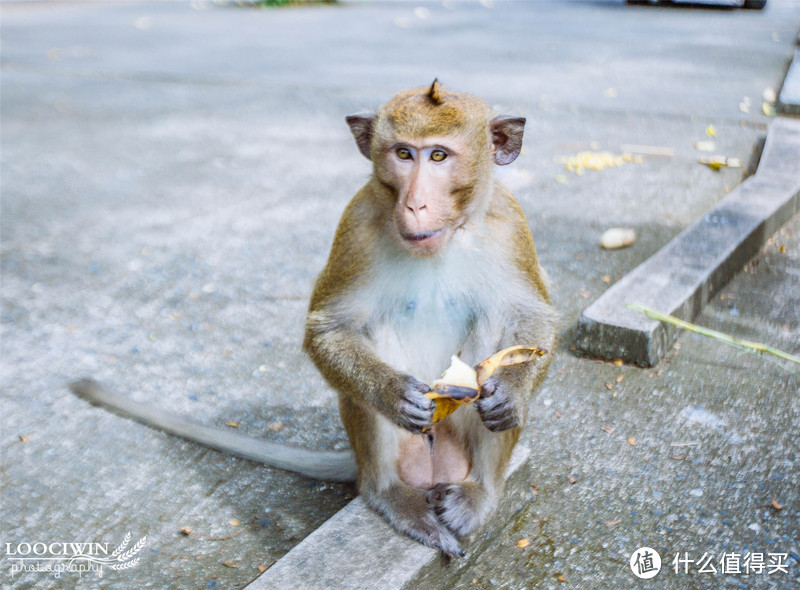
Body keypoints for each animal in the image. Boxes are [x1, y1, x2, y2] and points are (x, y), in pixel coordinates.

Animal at [69, 81, 552, 560]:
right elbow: (330, 329)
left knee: (493, 329)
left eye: (438, 156)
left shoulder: (509, 223)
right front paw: (392, 392)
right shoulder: (356, 225)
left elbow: (531, 318)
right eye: (403, 154)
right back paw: (392, 495)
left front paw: (508, 393)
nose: (415, 204)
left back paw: (479, 492)